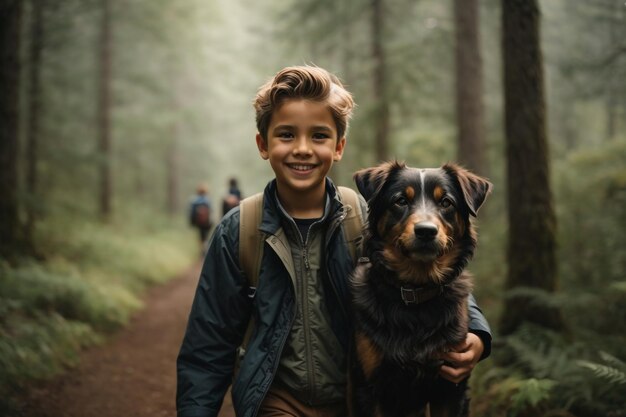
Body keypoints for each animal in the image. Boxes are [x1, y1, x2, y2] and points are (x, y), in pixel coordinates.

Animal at [348, 160, 490, 416]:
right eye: (401, 201)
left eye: (446, 202)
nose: (426, 231)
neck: (414, 290)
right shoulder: (369, 387)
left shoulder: (450, 386)